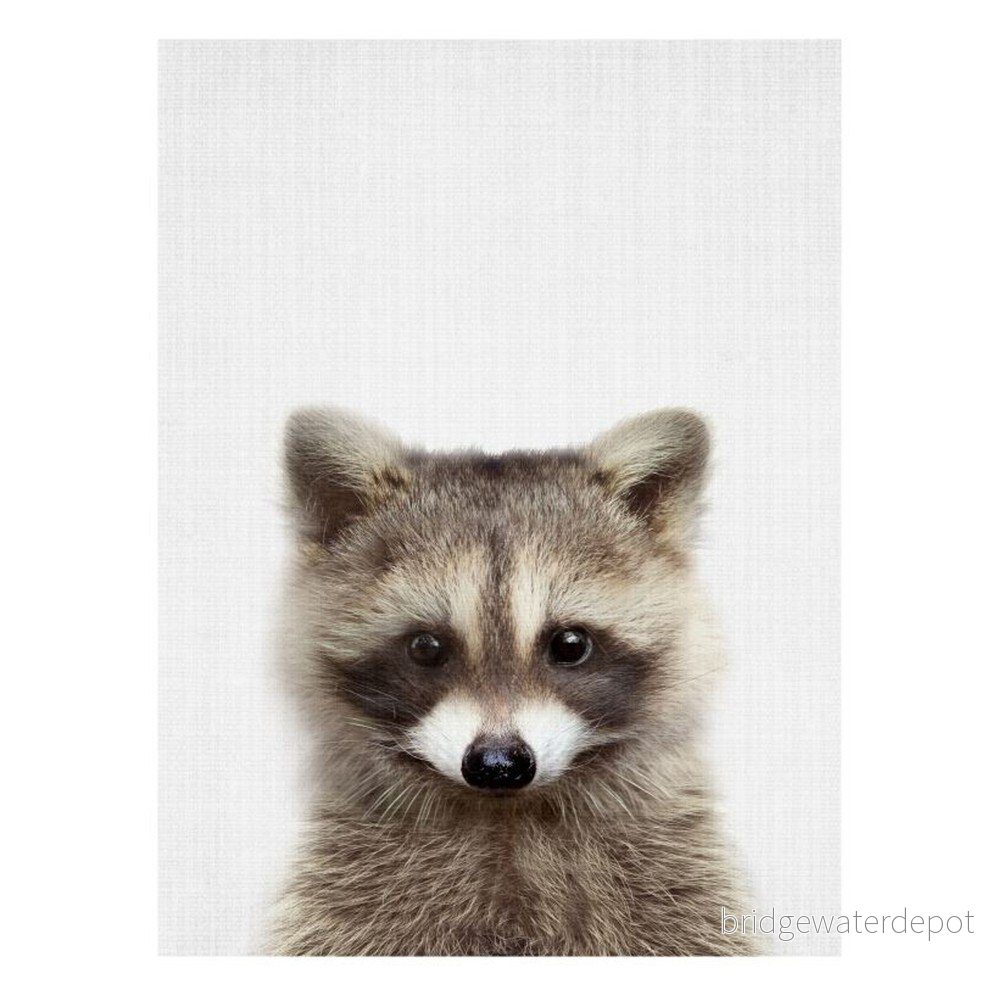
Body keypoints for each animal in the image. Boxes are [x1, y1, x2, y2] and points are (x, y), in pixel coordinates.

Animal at [270, 407, 755, 956]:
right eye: (426, 647)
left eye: (569, 644)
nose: (498, 764)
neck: (508, 820)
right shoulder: (345, 895)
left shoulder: (678, 882)